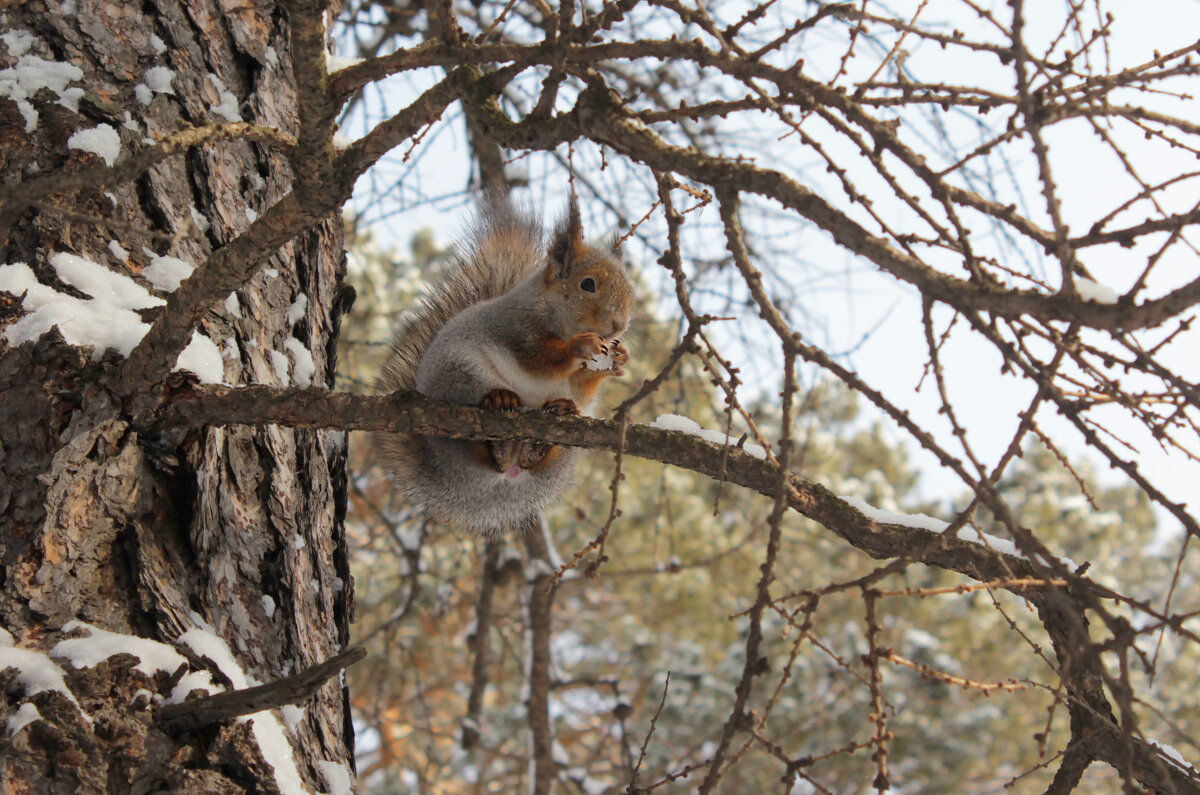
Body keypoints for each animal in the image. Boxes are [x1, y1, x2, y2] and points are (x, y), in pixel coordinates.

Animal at [376, 190, 638, 538]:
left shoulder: (576, 381)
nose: (619, 325)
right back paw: (499, 407)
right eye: (588, 285)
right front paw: (579, 346)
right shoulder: (515, 329)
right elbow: (539, 359)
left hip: (566, 449)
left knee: (533, 457)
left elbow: (581, 384)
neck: (553, 312)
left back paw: (547, 429)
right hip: (459, 374)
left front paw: (616, 361)